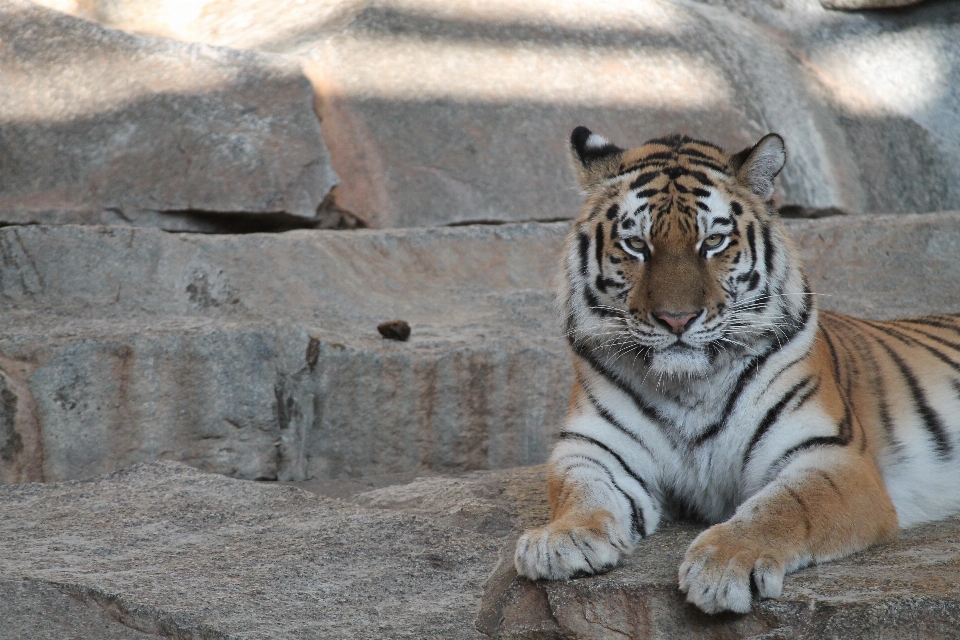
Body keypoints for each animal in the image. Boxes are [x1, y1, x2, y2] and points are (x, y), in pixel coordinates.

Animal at [516, 127, 960, 612]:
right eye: (636, 245)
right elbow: (580, 489)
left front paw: (726, 562)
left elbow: (782, 508)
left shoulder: (831, 456)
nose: (676, 319)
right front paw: (562, 538)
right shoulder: (593, 447)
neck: (688, 385)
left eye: (712, 243)